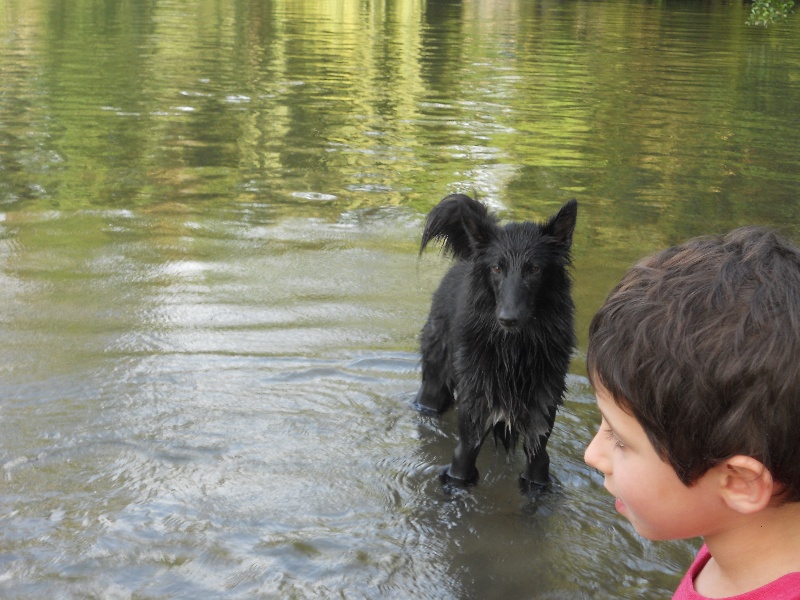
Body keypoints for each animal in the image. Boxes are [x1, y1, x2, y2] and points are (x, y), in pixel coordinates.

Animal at [416, 195, 580, 490]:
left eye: (534, 268)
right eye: (497, 267)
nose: (508, 319)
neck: (513, 356)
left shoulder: (539, 437)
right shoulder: (468, 441)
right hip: (434, 386)